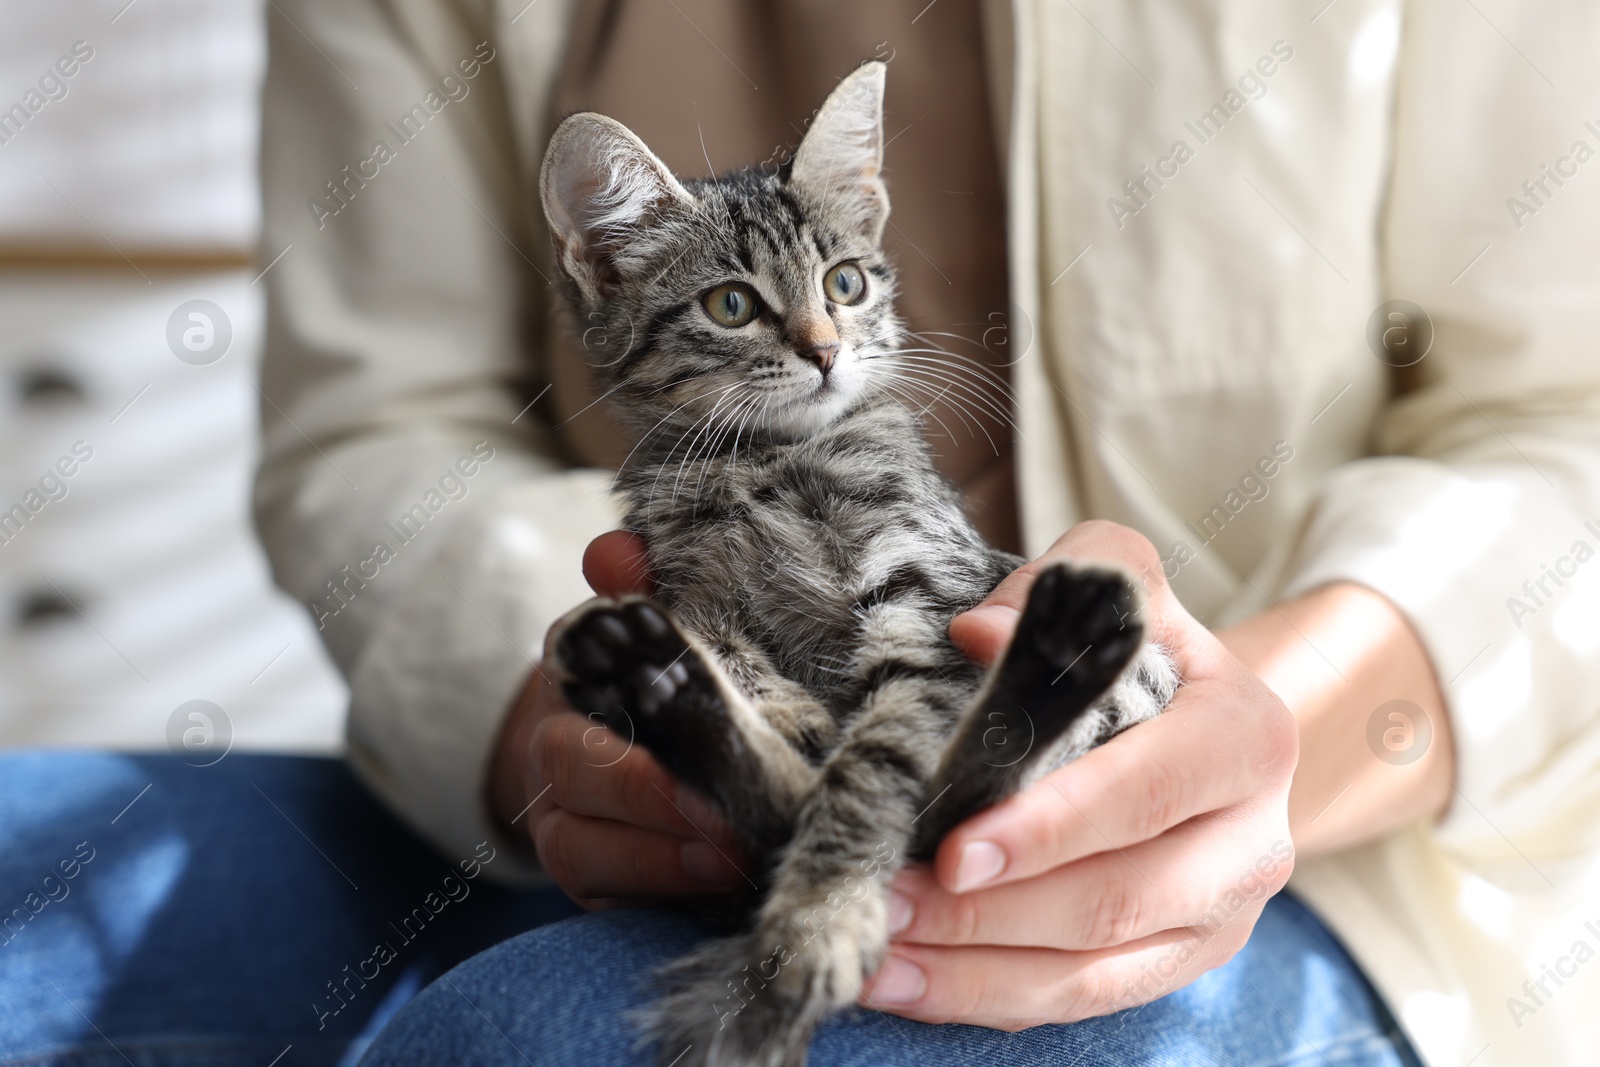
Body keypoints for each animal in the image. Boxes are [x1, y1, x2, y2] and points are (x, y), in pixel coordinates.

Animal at [537, 64, 1177, 1067]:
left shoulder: (926, 597)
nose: (825, 350)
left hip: (1135, 674)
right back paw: (648, 680)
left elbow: (874, 768)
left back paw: (1059, 647)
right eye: (730, 304)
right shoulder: (688, 581)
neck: (766, 464)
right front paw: (773, 707)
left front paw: (815, 924)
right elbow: (743, 663)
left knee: (946, 804)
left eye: (844, 283)